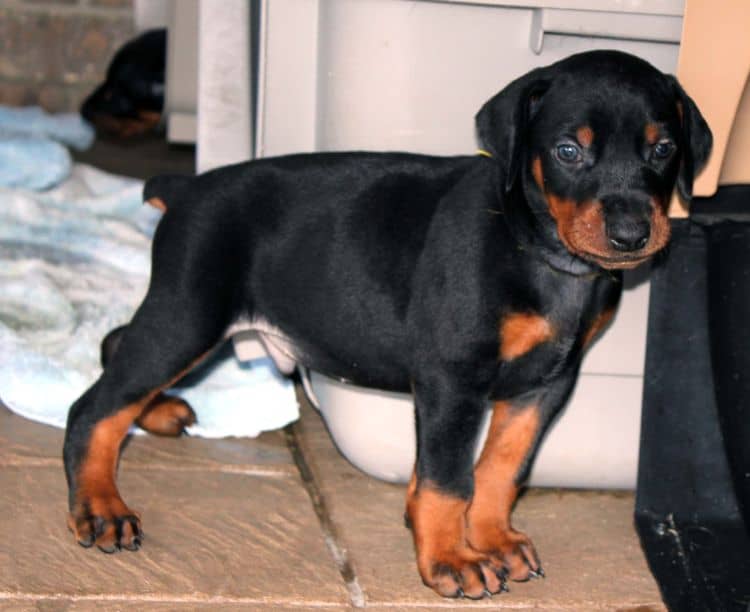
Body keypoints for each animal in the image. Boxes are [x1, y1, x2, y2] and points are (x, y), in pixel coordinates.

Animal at [63, 50, 712, 600]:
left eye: (662, 149)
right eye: (568, 152)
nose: (632, 235)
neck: (536, 248)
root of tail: (188, 188)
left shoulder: (547, 382)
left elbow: (503, 465)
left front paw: (492, 538)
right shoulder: (454, 376)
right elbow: (449, 479)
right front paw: (451, 558)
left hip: (188, 317)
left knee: (117, 352)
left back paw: (158, 413)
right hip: (191, 313)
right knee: (93, 405)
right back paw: (100, 505)